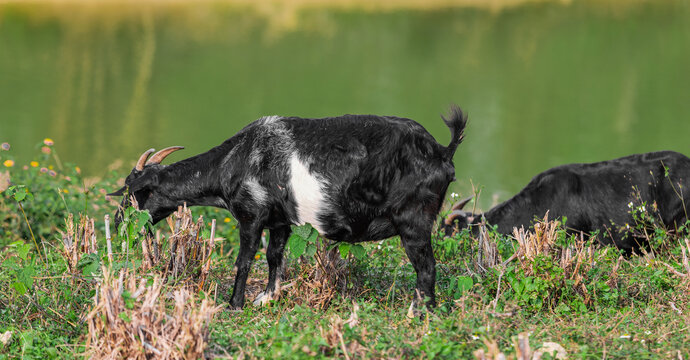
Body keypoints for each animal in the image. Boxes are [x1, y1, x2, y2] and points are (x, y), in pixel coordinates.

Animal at [111, 105, 468, 310]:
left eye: (133, 194)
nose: (116, 224)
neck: (233, 160)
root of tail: (442, 152)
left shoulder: (251, 215)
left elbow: (244, 260)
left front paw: (235, 304)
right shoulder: (279, 221)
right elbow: (274, 257)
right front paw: (267, 297)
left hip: (414, 220)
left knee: (426, 267)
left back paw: (420, 311)